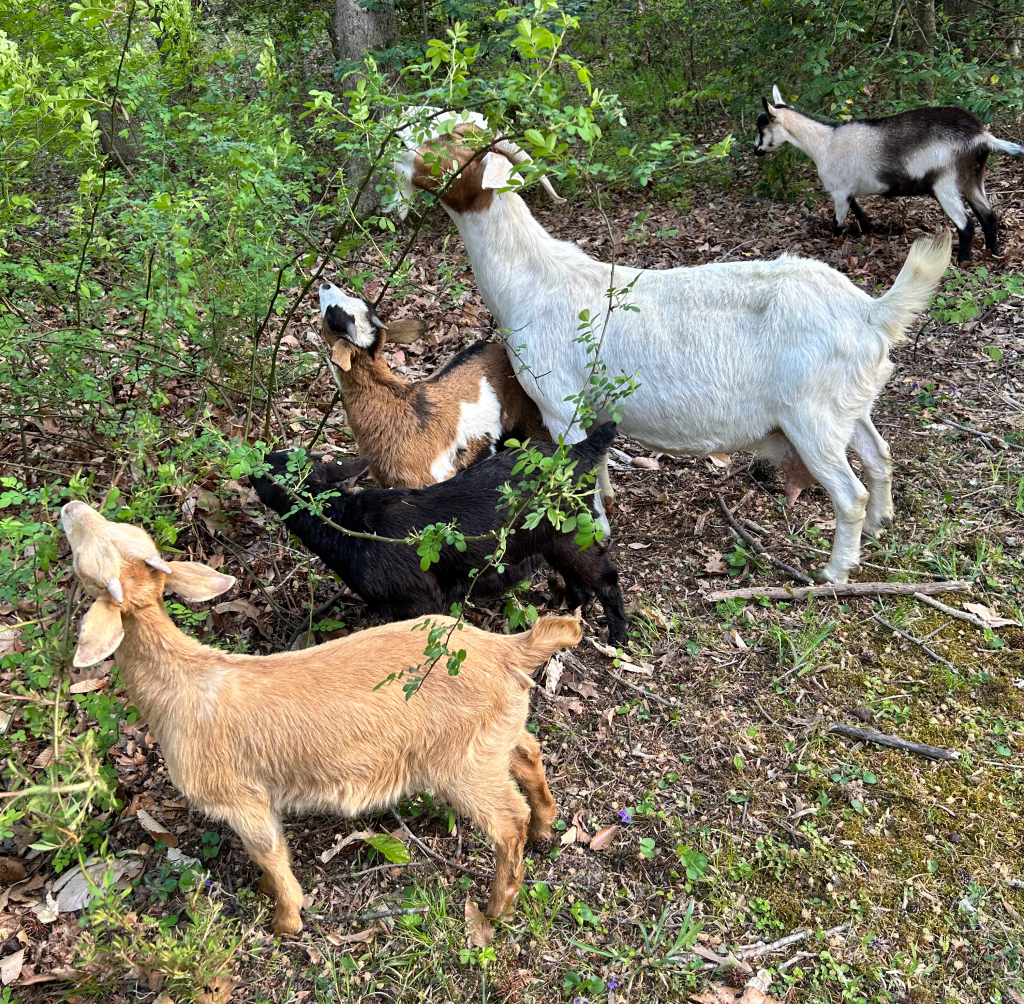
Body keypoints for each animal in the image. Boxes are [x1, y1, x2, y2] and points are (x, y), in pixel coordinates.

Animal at [62, 499, 581, 935]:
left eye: (86, 558)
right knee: (528, 753)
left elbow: (268, 852)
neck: (183, 683)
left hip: (463, 763)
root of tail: (505, 649)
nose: (70, 506)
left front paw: (285, 921)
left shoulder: (239, 797)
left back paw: (496, 907)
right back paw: (545, 825)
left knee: (507, 821)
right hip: (494, 735)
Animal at [249, 421, 628, 643]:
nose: (255, 460)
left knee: (607, 577)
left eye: (274, 468)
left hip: (572, 535)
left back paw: (618, 637)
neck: (350, 525)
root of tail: (578, 451)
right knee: (581, 582)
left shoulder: (421, 600)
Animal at [396, 133, 953, 583]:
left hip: (812, 418)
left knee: (849, 493)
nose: (400, 149)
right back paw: (881, 525)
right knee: (880, 456)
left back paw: (837, 570)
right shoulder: (587, 408)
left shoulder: (559, 404)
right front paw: (609, 503)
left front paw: (595, 530)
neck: (534, 280)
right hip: (849, 406)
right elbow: (596, 461)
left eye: (447, 149)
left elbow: (579, 475)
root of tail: (870, 312)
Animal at [755, 84, 1024, 262]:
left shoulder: (839, 191)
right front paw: (867, 228)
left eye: (762, 127)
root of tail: (980, 135)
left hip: (945, 182)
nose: (756, 150)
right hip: (972, 178)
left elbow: (838, 223)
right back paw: (994, 252)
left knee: (966, 223)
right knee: (988, 215)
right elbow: (858, 210)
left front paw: (832, 244)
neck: (824, 142)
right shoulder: (848, 189)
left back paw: (963, 261)